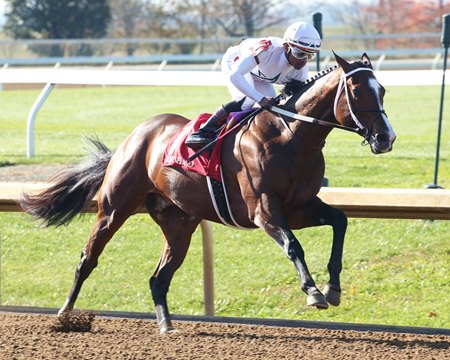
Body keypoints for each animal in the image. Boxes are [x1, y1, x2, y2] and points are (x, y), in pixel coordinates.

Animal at [20, 52, 394, 334]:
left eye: (383, 90)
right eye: (357, 92)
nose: (386, 138)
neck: (289, 136)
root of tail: (134, 136)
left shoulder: (299, 207)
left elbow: (340, 221)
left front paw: (333, 287)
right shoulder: (264, 210)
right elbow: (293, 245)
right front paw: (314, 292)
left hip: (179, 223)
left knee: (158, 279)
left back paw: (166, 325)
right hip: (113, 210)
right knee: (88, 259)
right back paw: (65, 315)